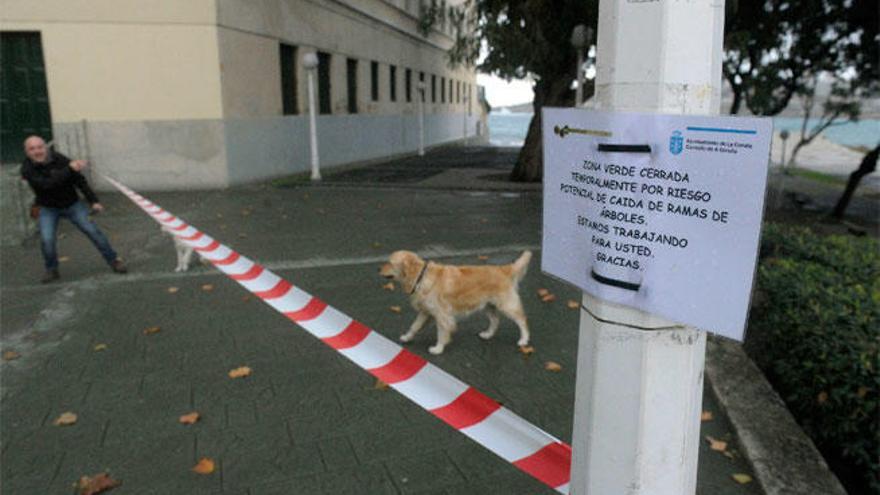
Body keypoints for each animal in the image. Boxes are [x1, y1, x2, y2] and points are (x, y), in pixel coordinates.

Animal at [378, 252, 528, 356]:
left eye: (390, 262)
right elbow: (414, 326)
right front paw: (407, 337)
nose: (379, 269)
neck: (421, 277)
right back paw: (487, 334)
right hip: (488, 306)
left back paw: (524, 340)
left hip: (507, 305)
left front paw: (438, 349)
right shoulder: (425, 312)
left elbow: (442, 333)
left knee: (522, 320)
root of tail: (504, 269)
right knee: (495, 320)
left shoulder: (442, 315)